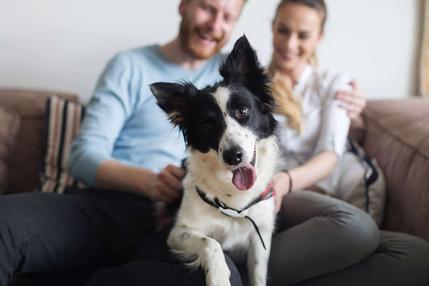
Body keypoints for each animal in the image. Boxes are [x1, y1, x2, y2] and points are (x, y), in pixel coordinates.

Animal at [150, 35, 278, 286]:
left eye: (242, 111)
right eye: (207, 125)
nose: (233, 156)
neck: (234, 198)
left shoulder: (260, 238)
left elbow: (258, 275)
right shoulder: (178, 233)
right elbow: (211, 243)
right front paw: (218, 276)